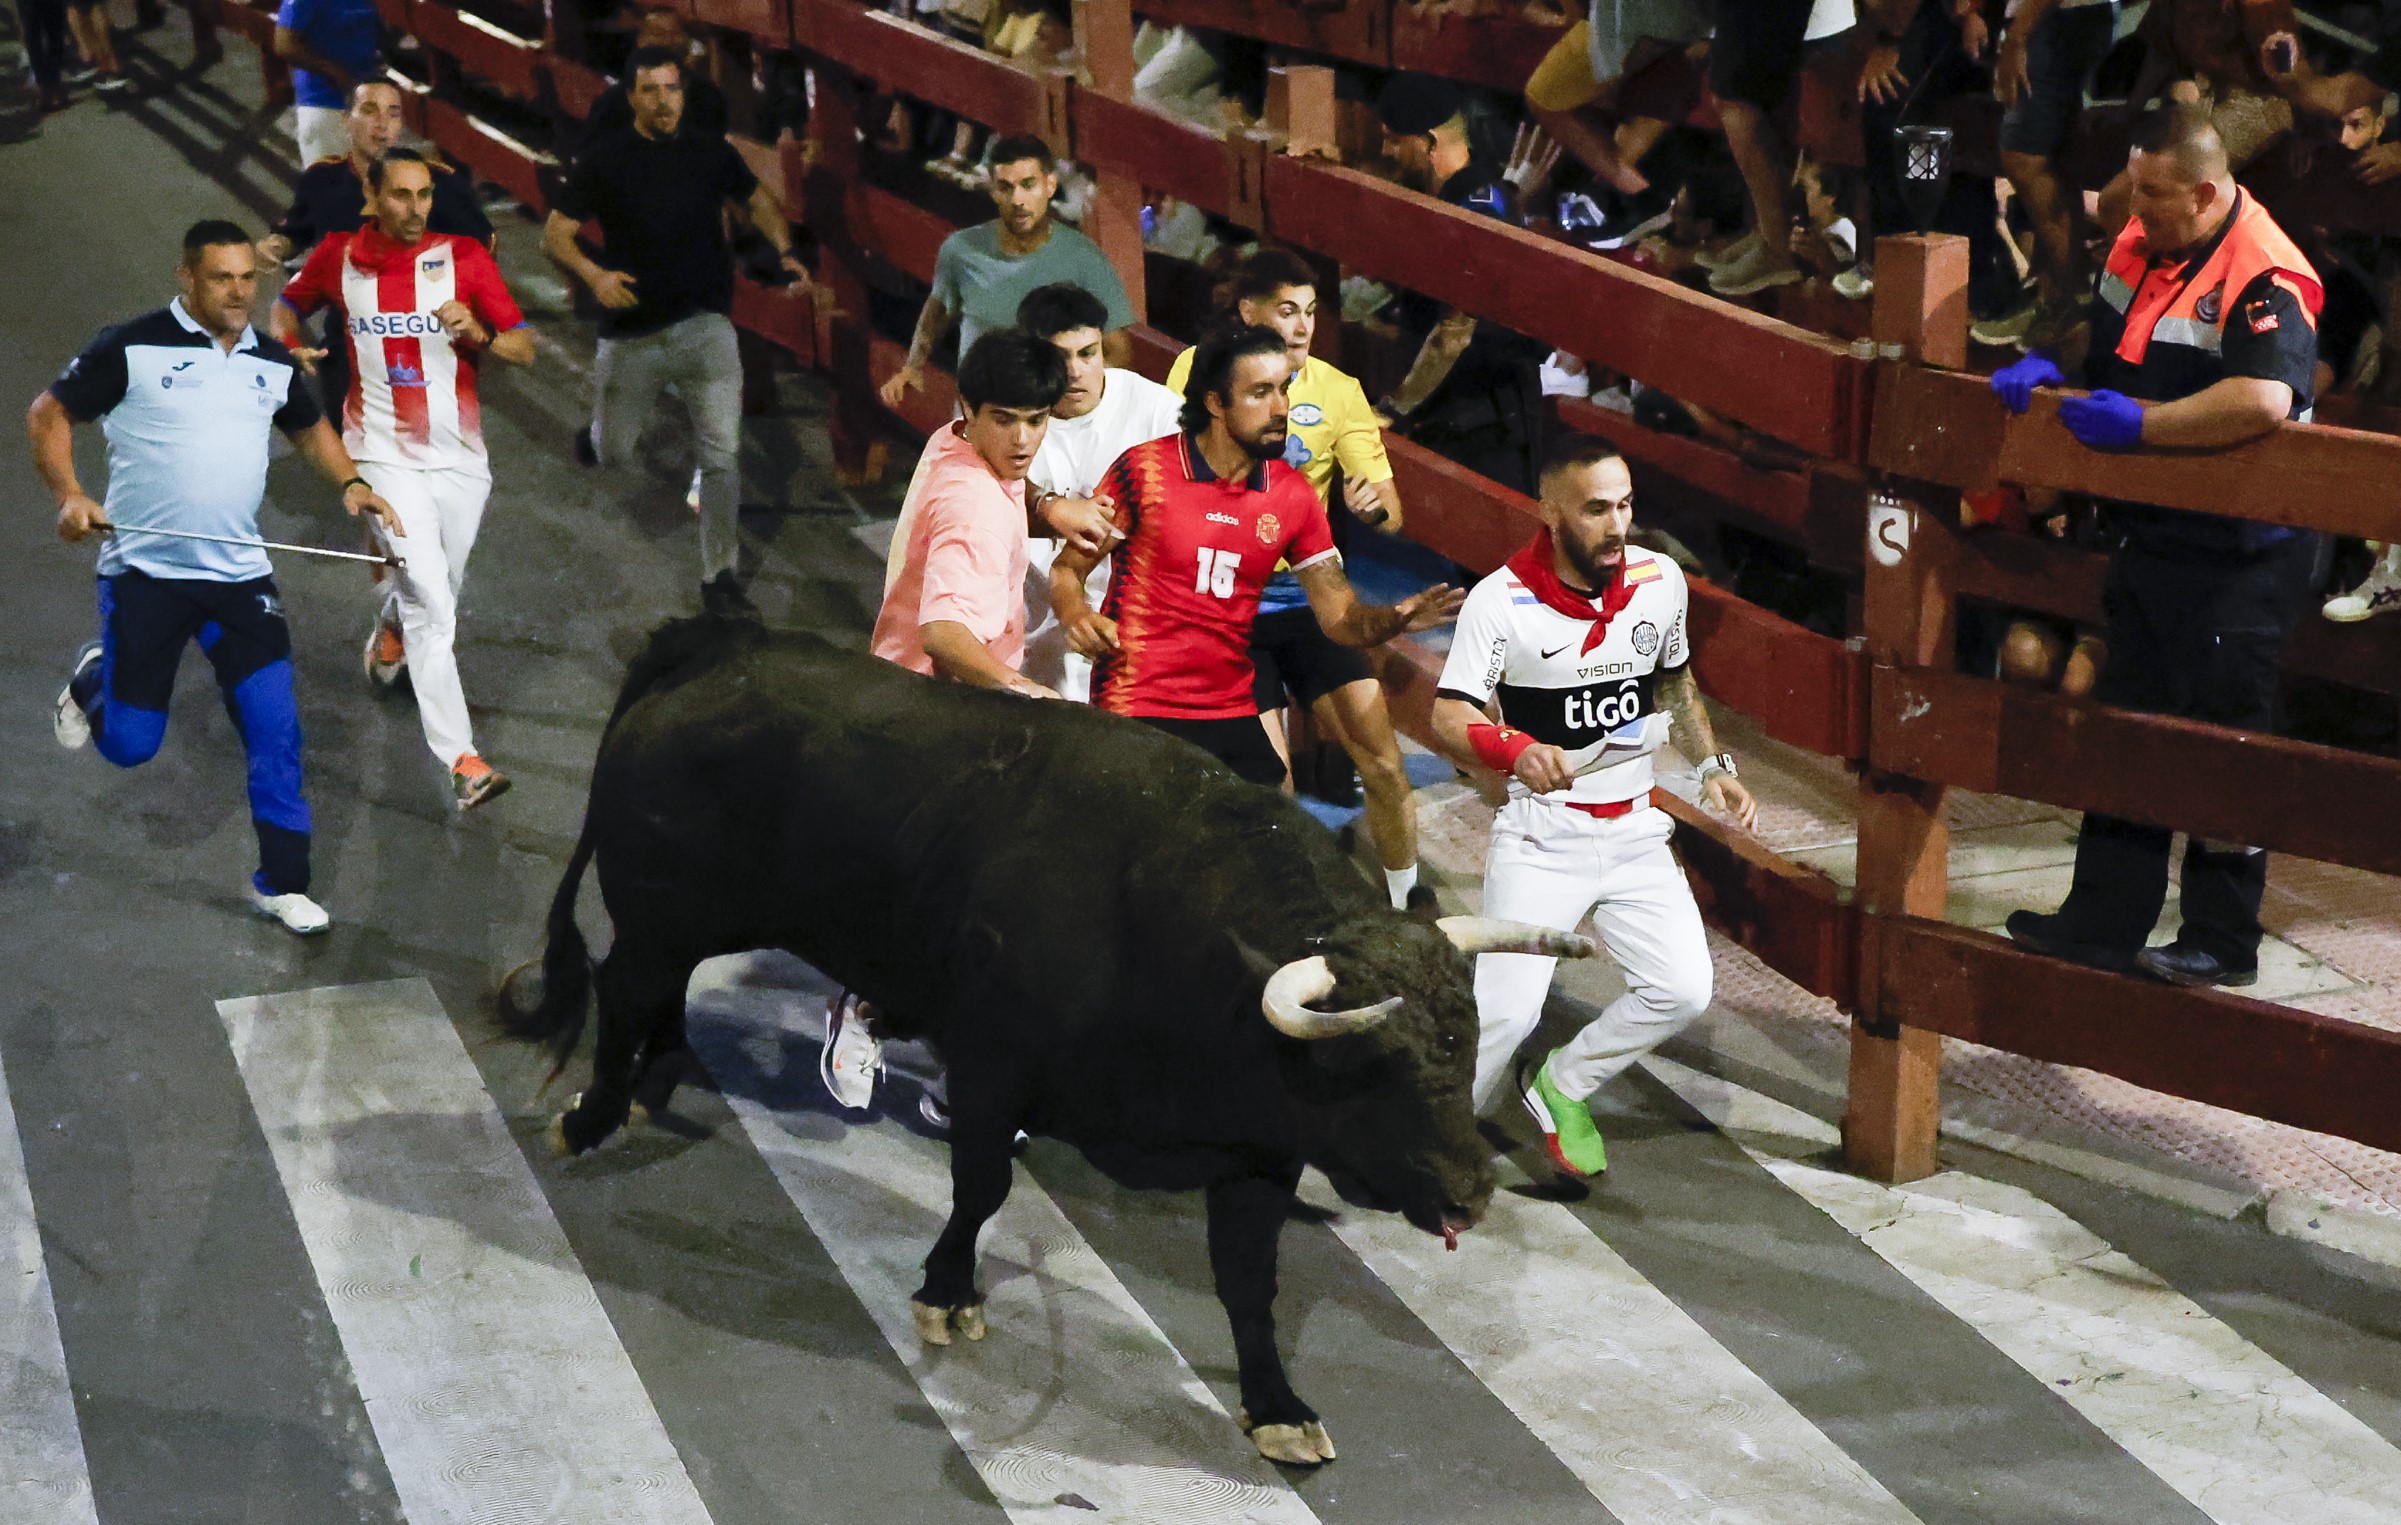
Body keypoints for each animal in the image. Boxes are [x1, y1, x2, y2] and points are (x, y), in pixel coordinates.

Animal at [499, 614, 1595, 1465]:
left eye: (1466, 1040)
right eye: (1369, 1063)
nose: (1470, 1190)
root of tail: (722, 640)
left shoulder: (1258, 1155)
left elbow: (1251, 1281)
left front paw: (1276, 1405)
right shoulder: (992, 1072)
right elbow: (981, 1187)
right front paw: (947, 1290)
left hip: (694, 918)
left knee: (659, 994)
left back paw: (654, 1080)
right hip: (659, 907)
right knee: (624, 986)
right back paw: (592, 1115)